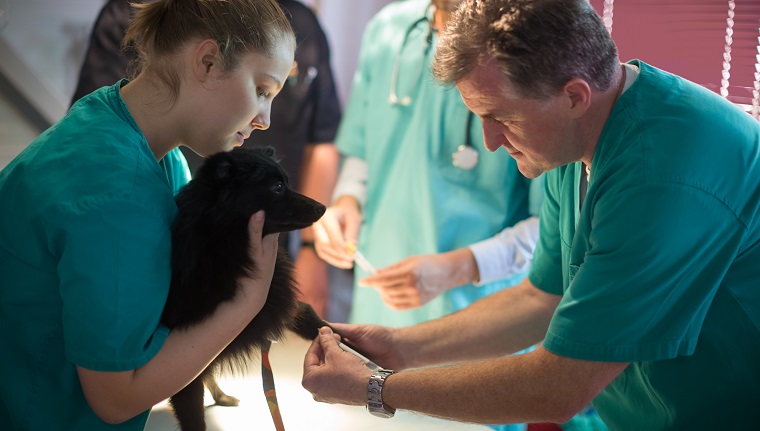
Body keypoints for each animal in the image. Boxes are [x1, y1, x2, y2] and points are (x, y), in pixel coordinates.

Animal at [165, 146, 328, 431]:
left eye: (287, 182)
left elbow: (312, 319)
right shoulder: (185, 368)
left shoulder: (275, 302)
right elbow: (193, 415)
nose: (323, 207)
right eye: (277, 187)